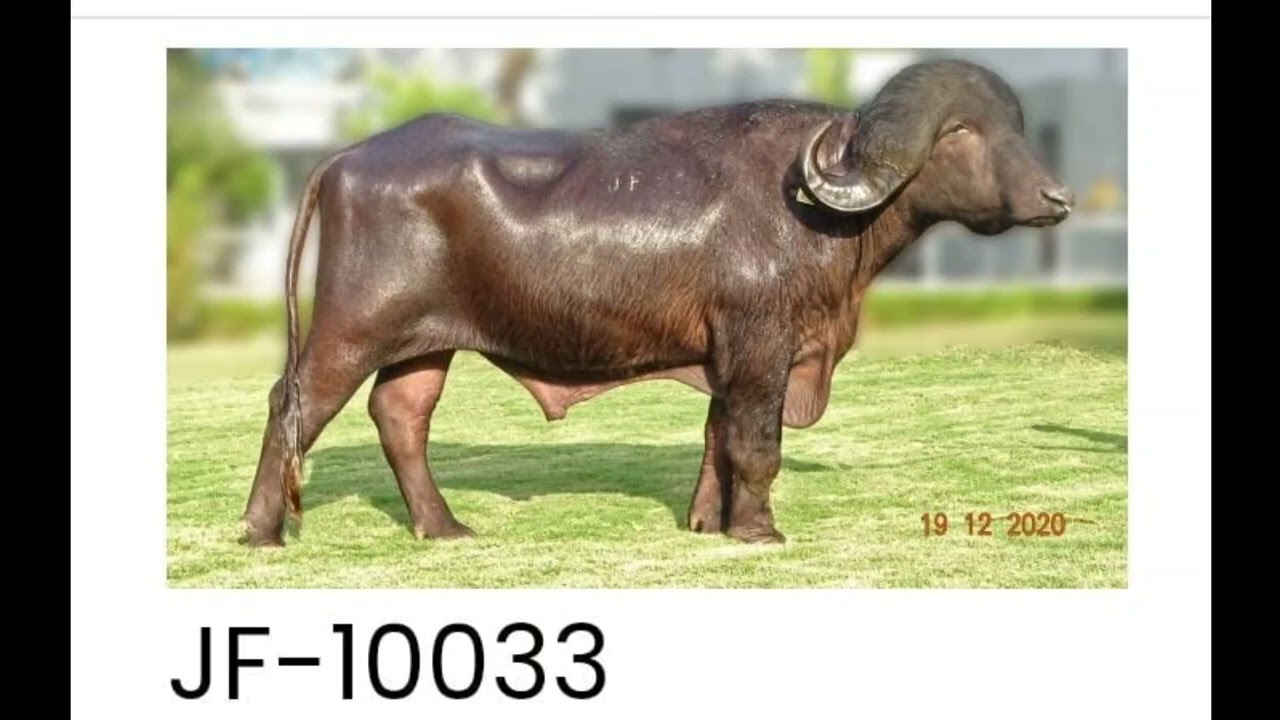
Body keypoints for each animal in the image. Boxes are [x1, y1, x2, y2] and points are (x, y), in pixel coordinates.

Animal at [239, 59, 1073, 547]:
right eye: (961, 132)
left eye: (1016, 128)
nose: (1057, 197)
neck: (821, 212)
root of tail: (350, 157)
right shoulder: (761, 345)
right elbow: (756, 445)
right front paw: (759, 531)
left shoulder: (728, 358)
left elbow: (717, 438)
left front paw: (709, 522)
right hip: (354, 326)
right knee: (294, 401)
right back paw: (260, 529)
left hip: (425, 342)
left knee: (400, 415)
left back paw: (442, 528)